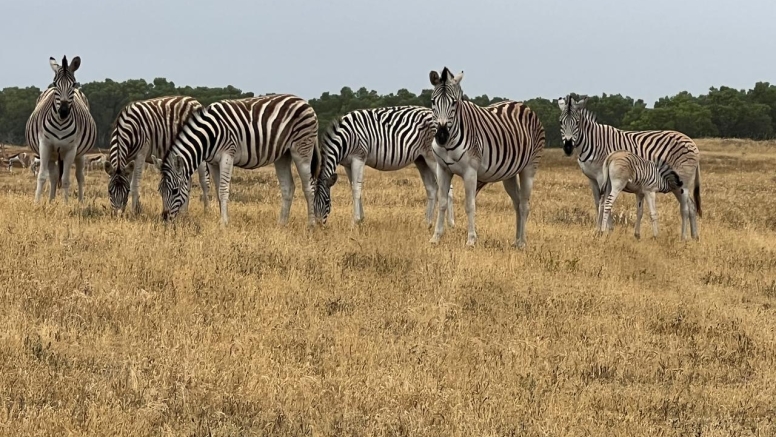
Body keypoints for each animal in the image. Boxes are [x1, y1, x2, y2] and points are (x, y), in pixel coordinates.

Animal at [25, 54, 96, 203]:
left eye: (73, 84)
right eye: (55, 84)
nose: (63, 112)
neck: (61, 123)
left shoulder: (71, 150)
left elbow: (65, 180)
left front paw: (65, 204)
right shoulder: (45, 145)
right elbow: (42, 176)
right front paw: (37, 203)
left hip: (80, 154)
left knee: (79, 176)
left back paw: (81, 202)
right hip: (53, 154)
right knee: (52, 176)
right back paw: (50, 201)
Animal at [157, 94, 318, 227]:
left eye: (175, 191)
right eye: (160, 190)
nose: (164, 219)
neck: (209, 136)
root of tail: (304, 101)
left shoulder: (228, 155)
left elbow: (223, 190)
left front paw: (223, 223)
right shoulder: (212, 162)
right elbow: (217, 190)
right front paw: (223, 219)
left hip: (302, 149)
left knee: (309, 187)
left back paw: (311, 224)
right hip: (283, 155)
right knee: (288, 187)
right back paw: (281, 224)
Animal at [312, 105, 454, 227]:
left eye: (327, 202)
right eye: (312, 203)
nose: (318, 226)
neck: (345, 139)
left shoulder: (359, 158)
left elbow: (356, 188)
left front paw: (355, 222)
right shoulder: (347, 164)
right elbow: (353, 187)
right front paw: (361, 219)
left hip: (433, 159)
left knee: (448, 188)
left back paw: (450, 224)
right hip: (421, 159)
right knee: (432, 188)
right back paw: (427, 223)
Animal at [424, 66, 544, 247]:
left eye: (454, 103)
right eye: (432, 102)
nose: (441, 136)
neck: (450, 142)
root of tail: (522, 105)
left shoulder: (470, 172)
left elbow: (469, 205)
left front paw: (471, 240)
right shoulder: (442, 169)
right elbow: (443, 202)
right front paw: (435, 237)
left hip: (529, 168)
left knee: (524, 205)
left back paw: (522, 242)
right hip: (509, 173)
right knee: (517, 203)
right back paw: (516, 241)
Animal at [556, 95, 704, 240]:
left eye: (576, 123)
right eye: (561, 122)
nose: (568, 148)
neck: (594, 142)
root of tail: (692, 143)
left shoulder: (602, 177)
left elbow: (605, 202)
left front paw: (607, 230)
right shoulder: (592, 179)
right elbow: (598, 203)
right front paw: (598, 230)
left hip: (682, 182)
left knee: (686, 207)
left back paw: (685, 237)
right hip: (677, 185)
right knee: (691, 206)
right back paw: (694, 237)